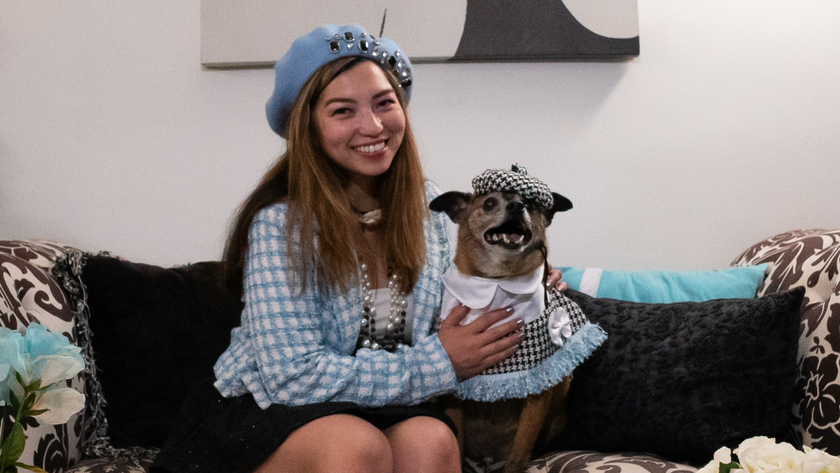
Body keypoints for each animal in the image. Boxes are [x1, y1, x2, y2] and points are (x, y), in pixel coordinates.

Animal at [430, 165, 608, 472]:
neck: (498, 281)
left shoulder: (538, 392)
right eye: (489, 203)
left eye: (532, 204)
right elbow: (457, 441)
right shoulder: (456, 393)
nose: (517, 206)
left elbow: (520, 450)